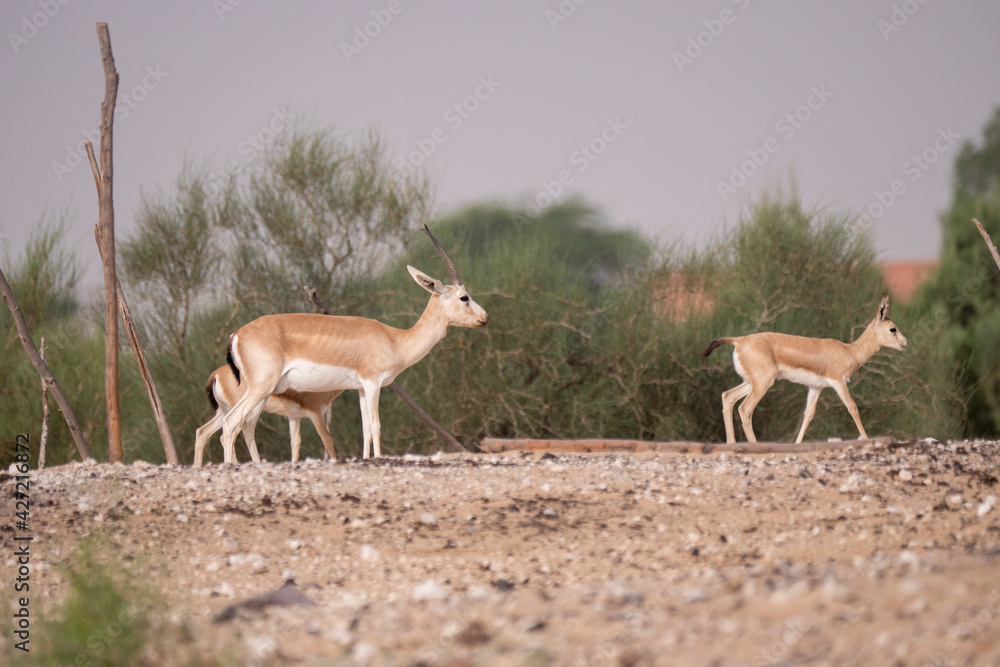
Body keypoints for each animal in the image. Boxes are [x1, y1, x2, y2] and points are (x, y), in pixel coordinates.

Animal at [193, 364, 341, 466]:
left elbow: (295, 443)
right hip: (241, 413)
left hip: (224, 411)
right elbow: (327, 439)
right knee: (227, 435)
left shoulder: (294, 416)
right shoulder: (315, 413)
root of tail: (216, 374)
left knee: (202, 432)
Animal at [219, 226, 487, 463]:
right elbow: (377, 425)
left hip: (262, 392)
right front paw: (379, 459)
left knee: (241, 425)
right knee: (230, 424)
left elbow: (365, 429)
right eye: (464, 297)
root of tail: (236, 335)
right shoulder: (373, 383)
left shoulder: (359, 388)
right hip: (260, 388)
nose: (485, 318)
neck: (395, 339)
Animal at [701, 295, 907, 444]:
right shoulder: (838, 382)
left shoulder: (816, 387)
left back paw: (731, 443)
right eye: (893, 329)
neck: (850, 352)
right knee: (745, 409)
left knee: (728, 397)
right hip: (763, 383)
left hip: (751, 382)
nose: (905, 343)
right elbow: (852, 407)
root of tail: (739, 340)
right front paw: (865, 439)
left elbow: (808, 415)